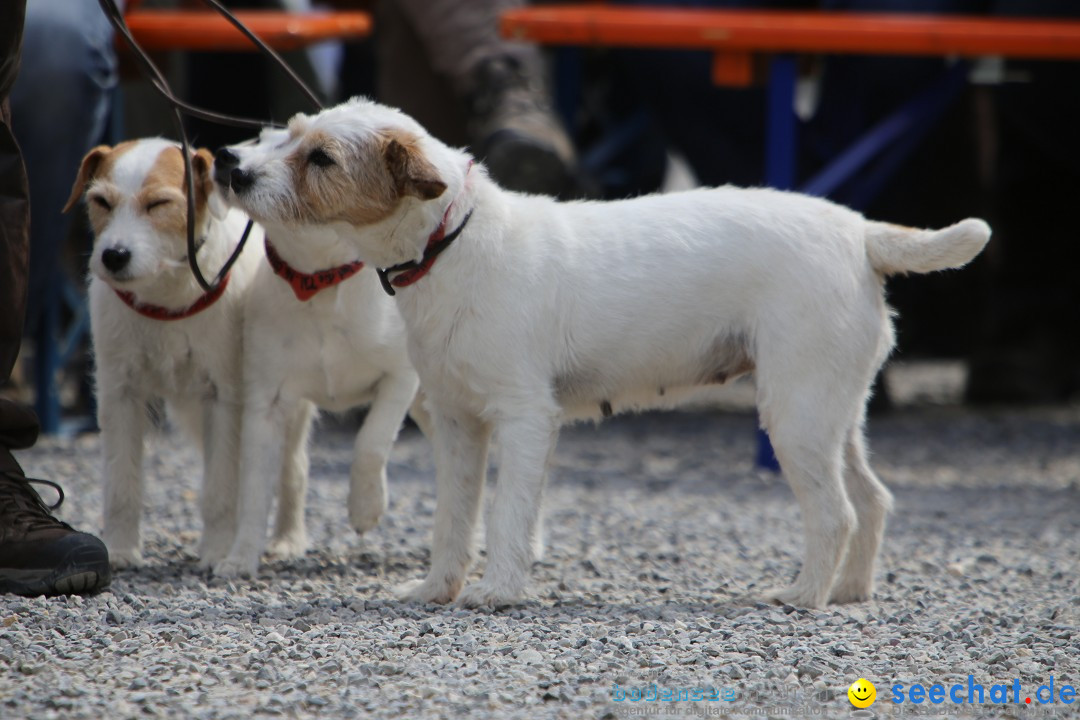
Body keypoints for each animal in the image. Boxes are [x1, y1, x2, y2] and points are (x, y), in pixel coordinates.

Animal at [68, 139, 261, 569]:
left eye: (158, 204)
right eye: (101, 201)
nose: (114, 255)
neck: (166, 292)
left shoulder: (224, 398)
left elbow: (220, 487)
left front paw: (217, 551)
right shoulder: (120, 395)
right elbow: (121, 485)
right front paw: (120, 550)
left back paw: (284, 539)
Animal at [214, 97, 989, 608]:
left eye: (320, 158)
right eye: (288, 135)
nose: (231, 171)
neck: (453, 242)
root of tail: (860, 232)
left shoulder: (525, 419)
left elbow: (506, 515)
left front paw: (498, 591)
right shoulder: (460, 426)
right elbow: (454, 520)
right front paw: (437, 588)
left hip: (795, 419)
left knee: (838, 513)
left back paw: (802, 596)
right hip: (832, 414)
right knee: (875, 500)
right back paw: (851, 591)